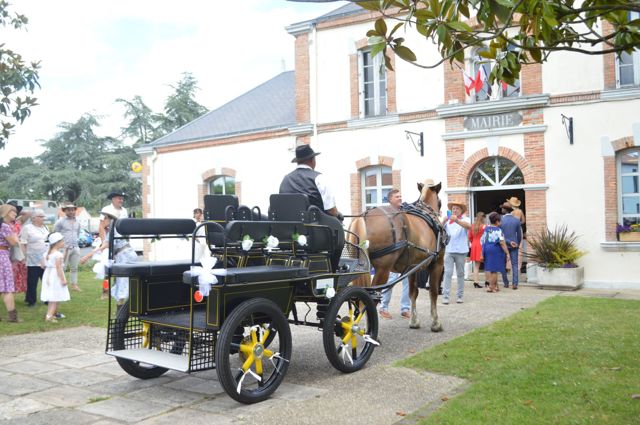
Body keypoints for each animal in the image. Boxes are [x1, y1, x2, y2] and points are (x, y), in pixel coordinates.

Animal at [350, 179, 444, 332]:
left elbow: (413, 293)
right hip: (383, 270)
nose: (440, 211)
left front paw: (414, 321)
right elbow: (433, 292)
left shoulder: (412, 268)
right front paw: (435, 323)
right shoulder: (438, 263)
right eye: (440, 201)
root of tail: (364, 216)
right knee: (371, 299)